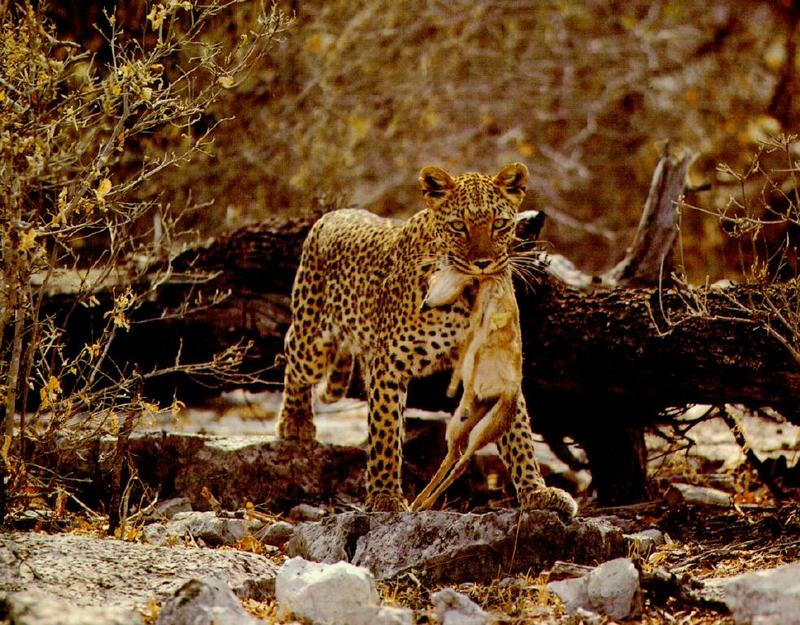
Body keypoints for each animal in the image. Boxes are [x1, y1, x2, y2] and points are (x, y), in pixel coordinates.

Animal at [276, 161, 576, 516]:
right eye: (459, 226)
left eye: (500, 224)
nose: (483, 264)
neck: (466, 294)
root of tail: (331, 214)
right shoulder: (389, 364)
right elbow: (386, 433)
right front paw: (385, 496)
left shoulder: (495, 369)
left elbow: (519, 437)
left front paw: (537, 492)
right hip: (312, 338)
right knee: (293, 354)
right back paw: (295, 422)